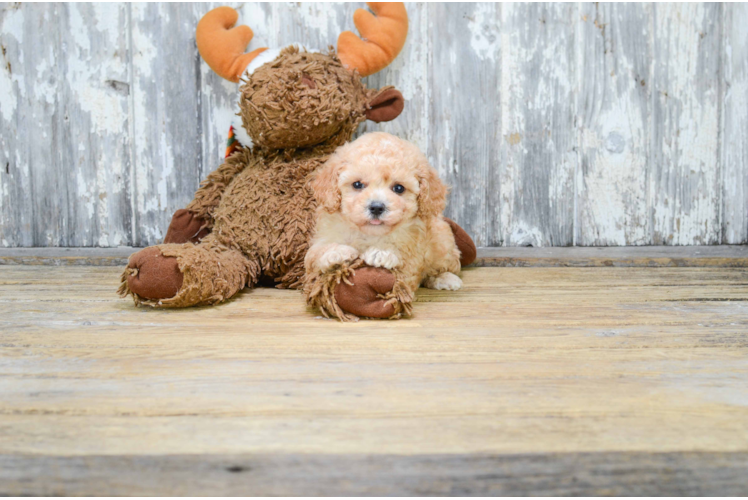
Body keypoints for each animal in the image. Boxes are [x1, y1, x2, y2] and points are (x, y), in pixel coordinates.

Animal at [306, 132, 462, 312]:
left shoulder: (412, 250)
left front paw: (382, 253)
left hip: (442, 242)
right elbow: (315, 254)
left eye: (399, 188)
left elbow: (403, 265)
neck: (369, 233)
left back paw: (446, 278)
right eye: (357, 184)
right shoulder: (323, 236)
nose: (376, 207)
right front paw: (336, 252)